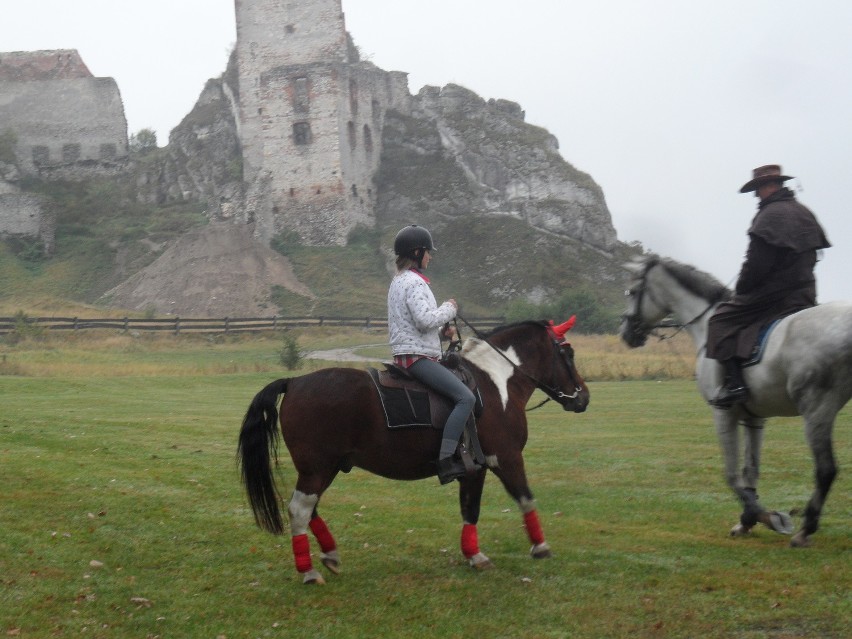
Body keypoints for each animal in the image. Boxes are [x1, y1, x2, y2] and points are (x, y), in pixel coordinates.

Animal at [236, 320, 588, 584]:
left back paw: (330, 555)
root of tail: (294, 382)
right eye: (568, 353)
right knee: (299, 510)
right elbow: (525, 498)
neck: (495, 384)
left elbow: (470, 509)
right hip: (317, 468)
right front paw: (540, 546)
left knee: (309, 509)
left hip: (324, 468)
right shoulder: (506, 457)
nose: (583, 397)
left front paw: (473, 554)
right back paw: (308, 571)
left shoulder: (474, 467)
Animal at [620, 258, 852, 548]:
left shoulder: (723, 413)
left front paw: (764, 517)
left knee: (825, 470)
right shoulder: (754, 418)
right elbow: (750, 470)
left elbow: (731, 474)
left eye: (631, 292)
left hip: (817, 410)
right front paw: (747, 521)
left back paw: (805, 529)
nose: (626, 334)